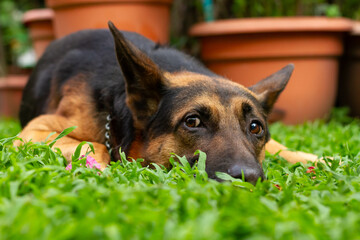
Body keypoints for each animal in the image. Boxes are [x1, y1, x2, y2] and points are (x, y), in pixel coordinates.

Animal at [18, 23, 320, 184]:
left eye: (256, 127)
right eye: (192, 121)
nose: (250, 179)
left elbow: (280, 146)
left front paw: (315, 158)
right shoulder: (34, 130)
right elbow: (96, 145)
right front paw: (100, 169)